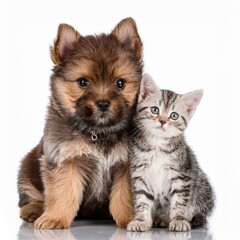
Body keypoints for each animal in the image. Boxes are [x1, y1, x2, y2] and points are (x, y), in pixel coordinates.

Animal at [18, 17, 144, 229]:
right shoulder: (66, 160)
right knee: (33, 193)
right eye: (83, 82)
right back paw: (34, 210)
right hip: (28, 167)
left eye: (120, 83)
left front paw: (130, 218)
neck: (98, 131)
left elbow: (125, 196)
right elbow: (62, 192)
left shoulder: (126, 165)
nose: (103, 104)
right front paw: (55, 217)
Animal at [127, 73, 216, 232]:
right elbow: (142, 200)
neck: (157, 145)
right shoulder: (140, 174)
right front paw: (141, 220)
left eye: (174, 116)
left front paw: (178, 220)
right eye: (155, 110)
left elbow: (179, 201)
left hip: (203, 190)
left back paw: (167, 219)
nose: (162, 121)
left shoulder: (182, 175)